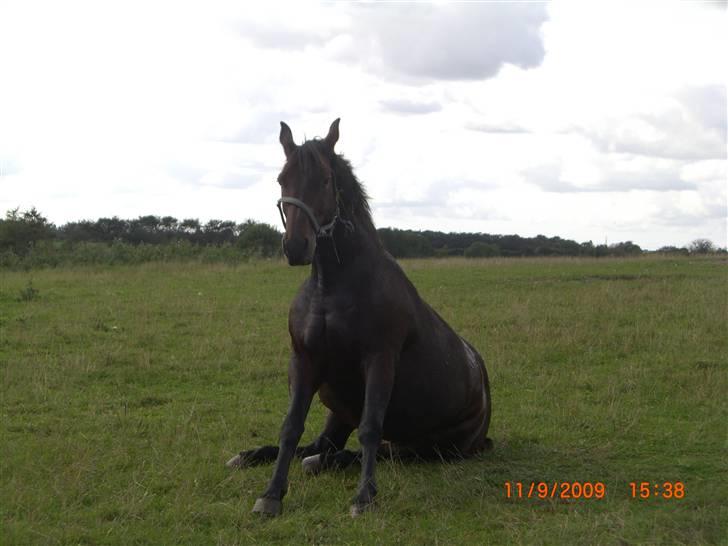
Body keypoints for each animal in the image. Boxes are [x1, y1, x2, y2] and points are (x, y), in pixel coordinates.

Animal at [225, 118, 492, 516]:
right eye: (282, 178)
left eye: (324, 179)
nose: (296, 247)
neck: (332, 287)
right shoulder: (304, 360)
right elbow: (291, 428)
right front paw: (271, 494)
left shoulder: (379, 360)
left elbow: (370, 429)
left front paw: (364, 496)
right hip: (339, 408)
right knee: (321, 446)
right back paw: (259, 457)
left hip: (432, 446)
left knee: (382, 451)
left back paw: (330, 464)